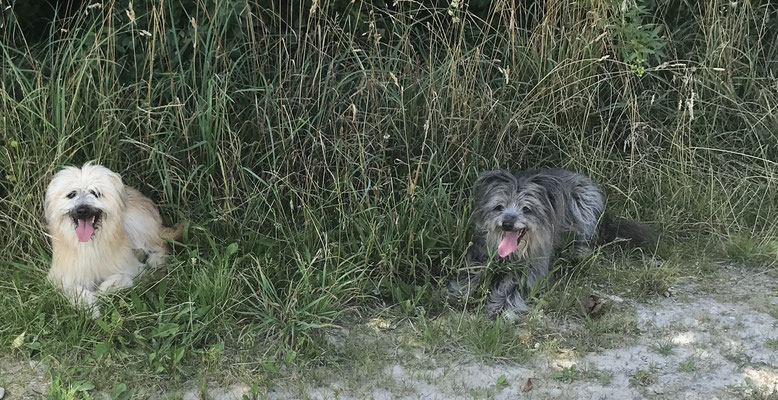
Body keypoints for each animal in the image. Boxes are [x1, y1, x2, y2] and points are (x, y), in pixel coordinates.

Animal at [45, 162, 183, 316]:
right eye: (72, 194)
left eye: (95, 193)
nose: (82, 210)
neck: (90, 244)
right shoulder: (60, 278)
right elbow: (74, 290)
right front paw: (89, 307)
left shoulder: (132, 269)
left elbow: (120, 278)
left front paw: (101, 293)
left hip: (137, 223)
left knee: (161, 244)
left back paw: (156, 260)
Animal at [448, 168, 656, 318]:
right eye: (499, 206)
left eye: (526, 209)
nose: (507, 223)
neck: (514, 253)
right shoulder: (481, 255)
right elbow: (471, 273)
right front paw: (460, 293)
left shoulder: (532, 270)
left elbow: (513, 289)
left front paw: (500, 308)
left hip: (584, 203)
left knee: (587, 238)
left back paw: (577, 254)